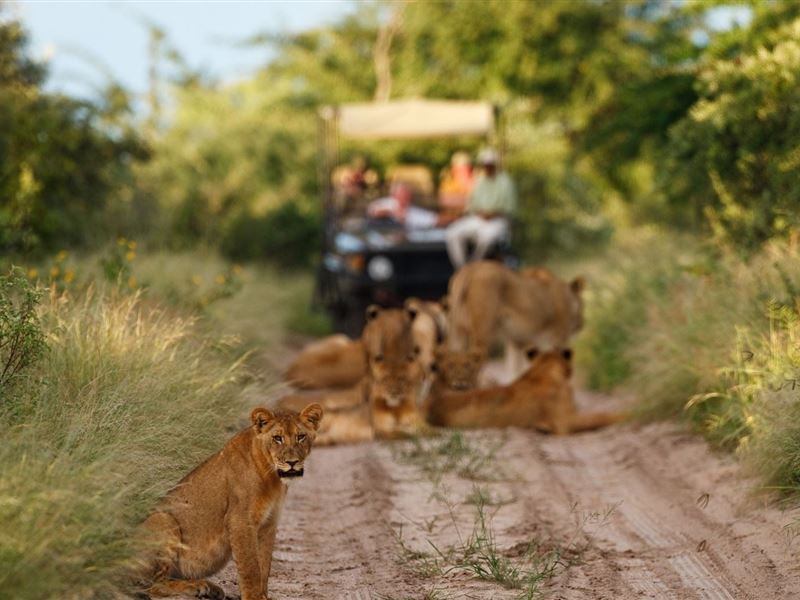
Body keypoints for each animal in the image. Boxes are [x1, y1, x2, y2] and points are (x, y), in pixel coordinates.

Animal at [446, 260, 584, 378]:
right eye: (582, 305)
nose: (581, 324)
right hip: (482, 335)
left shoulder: (517, 342)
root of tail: (471, 269)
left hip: (457, 331)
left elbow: (515, 372)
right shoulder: (558, 340)